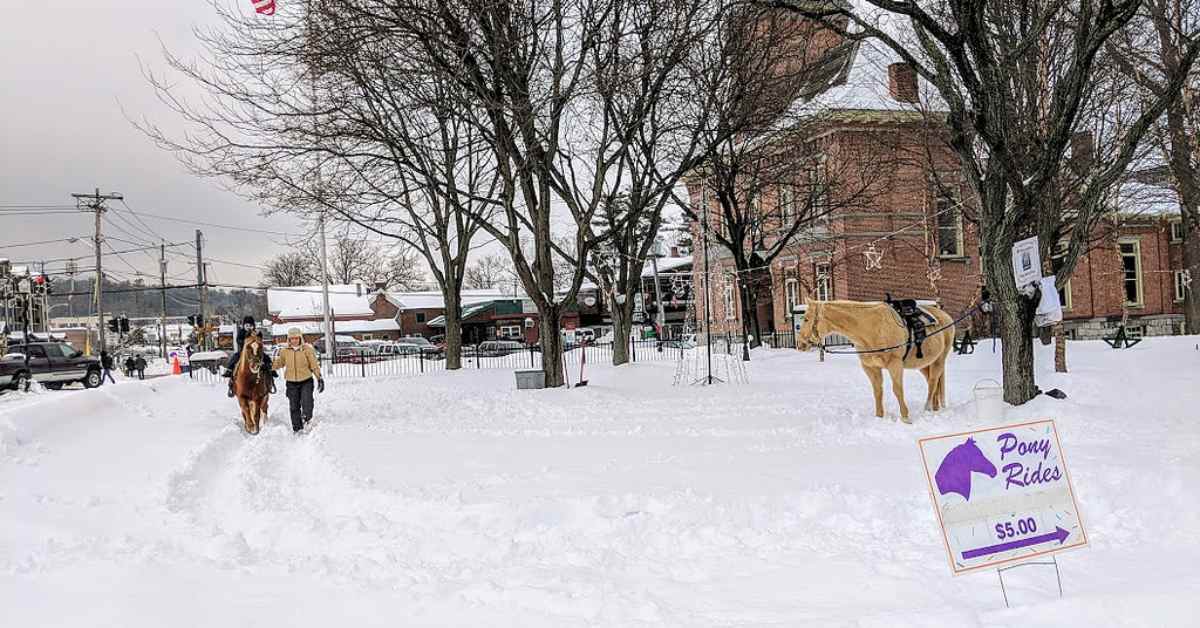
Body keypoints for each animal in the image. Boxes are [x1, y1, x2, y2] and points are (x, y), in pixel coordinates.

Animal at [796, 298, 955, 425]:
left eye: (806, 319)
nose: (800, 344)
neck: (872, 328)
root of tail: (946, 317)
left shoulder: (895, 365)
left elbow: (897, 390)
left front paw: (905, 418)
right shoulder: (870, 368)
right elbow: (877, 391)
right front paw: (879, 416)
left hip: (939, 360)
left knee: (933, 382)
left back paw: (927, 407)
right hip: (924, 364)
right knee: (933, 382)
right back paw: (935, 407)